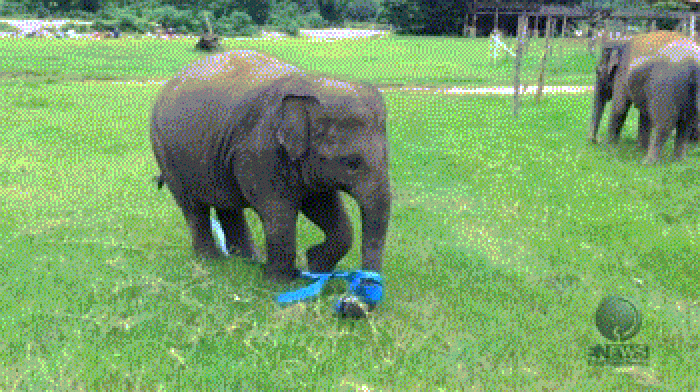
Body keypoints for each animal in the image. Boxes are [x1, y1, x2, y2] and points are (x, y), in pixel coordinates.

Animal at [152, 50, 392, 284]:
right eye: (353, 163)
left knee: (227, 204)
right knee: (193, 207)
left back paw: (248, 260)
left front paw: (314, 266)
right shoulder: (261, 150)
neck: (313, 82)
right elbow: (278, 211)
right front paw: (278, 283)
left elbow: (323, 207)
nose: (358, 299)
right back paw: (212, 261)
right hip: (165, 151)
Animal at [588, 31, 696, 164]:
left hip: (665, 85)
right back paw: (679, 161)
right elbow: (645, 115)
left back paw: (647, 162)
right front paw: (639, 149)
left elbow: (619, 108)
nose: (595, 141)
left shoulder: (622, 75)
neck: (620, 39)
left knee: (664, 123)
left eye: (597, 71)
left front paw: (609, 147)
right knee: (687, 123)